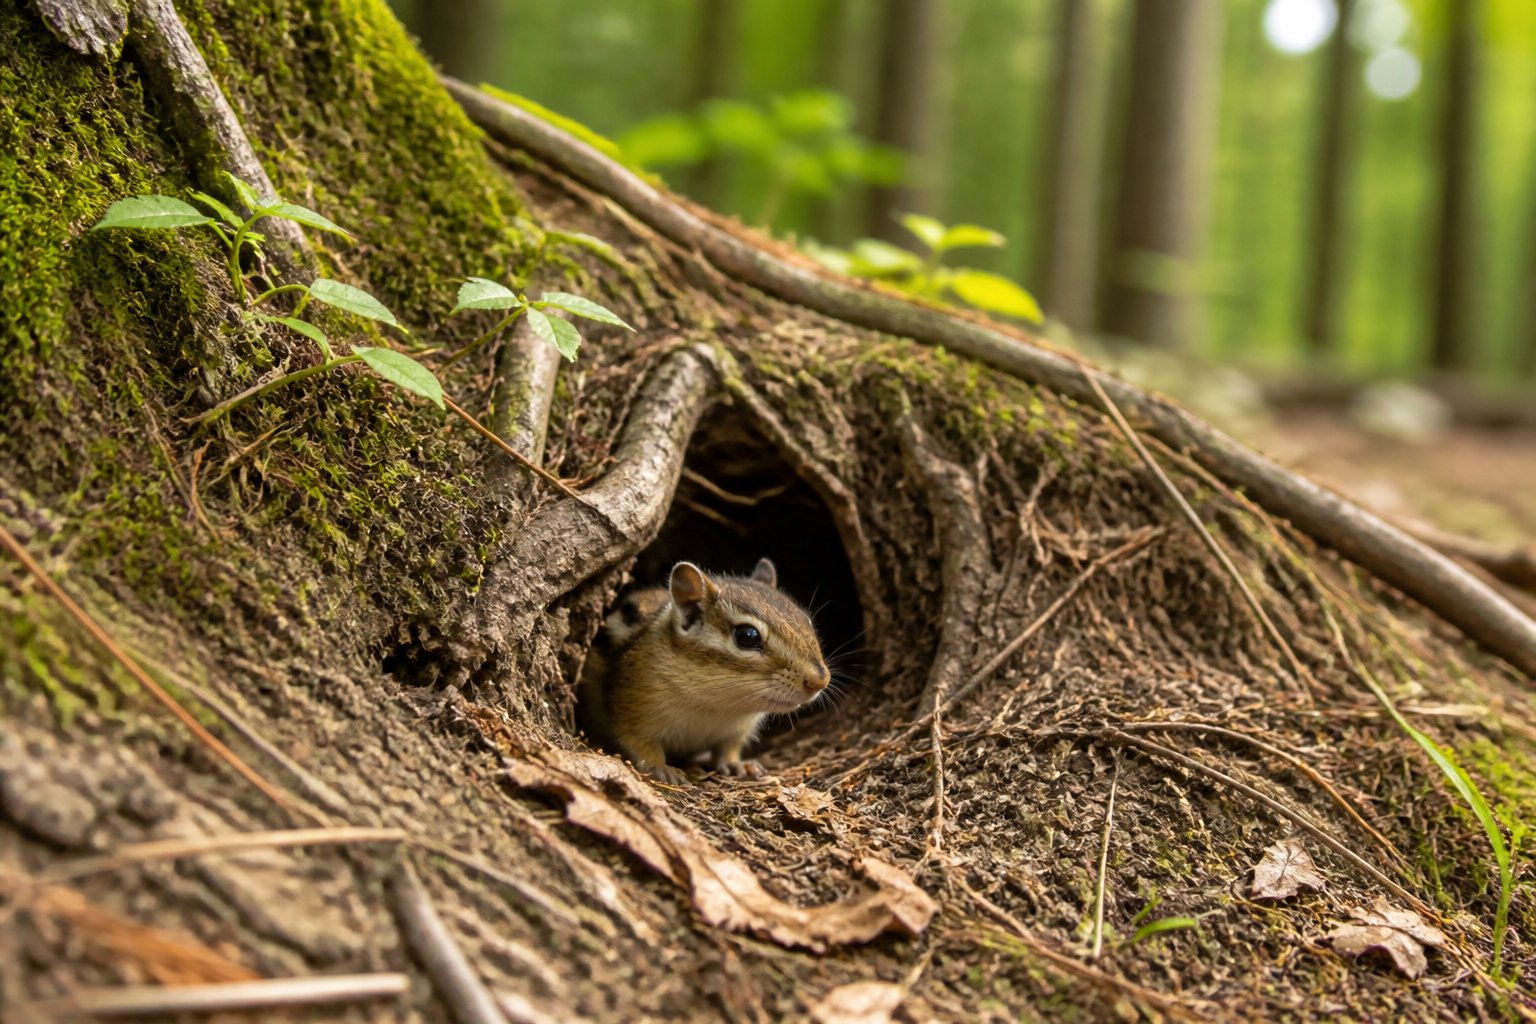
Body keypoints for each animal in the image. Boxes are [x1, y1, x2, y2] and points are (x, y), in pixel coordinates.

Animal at [577, 558, 831, 785]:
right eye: (747, 636)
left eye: (805, 620)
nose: (819, 681)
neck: (715, 706)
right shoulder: (631, 706)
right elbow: (640, 742)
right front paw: (660, 767)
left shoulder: (737, 729)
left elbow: (729, 748)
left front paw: (738, 764)